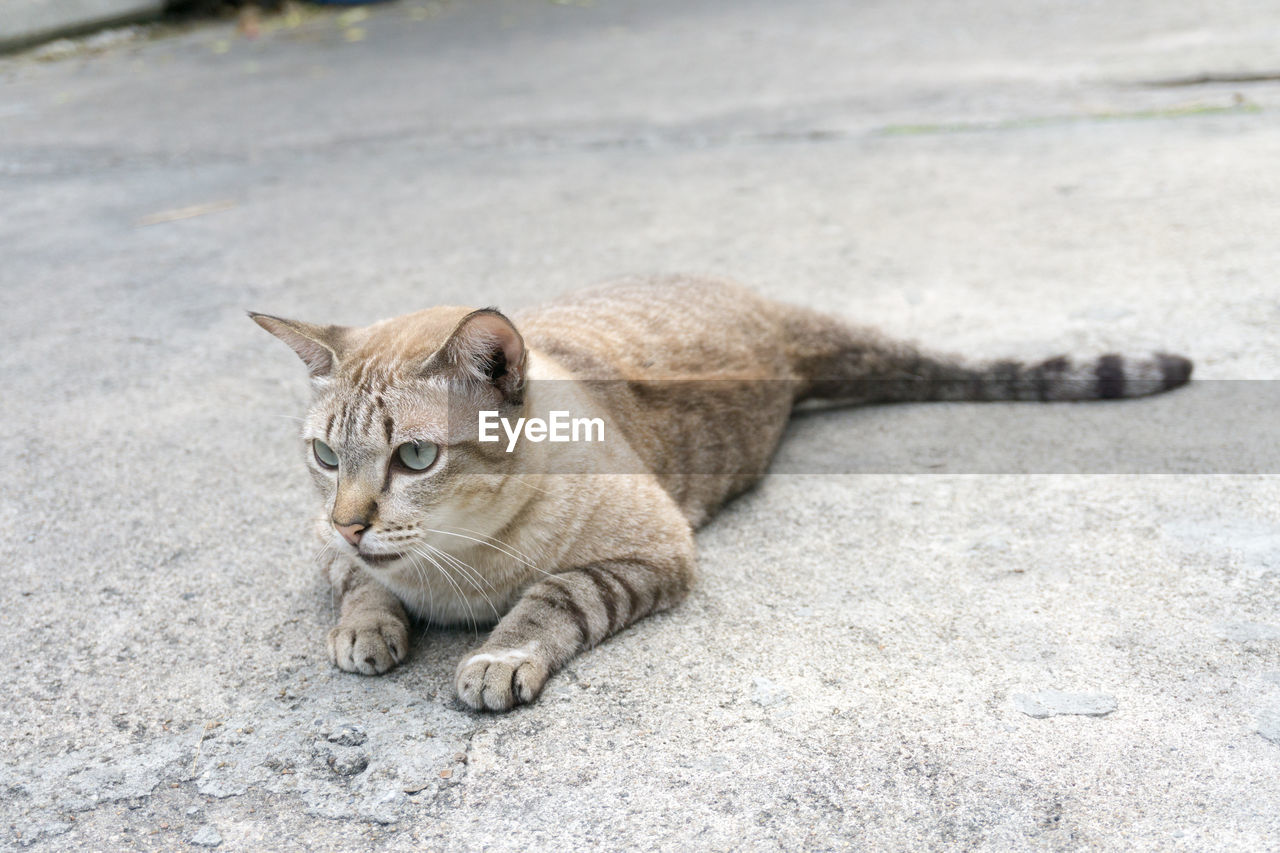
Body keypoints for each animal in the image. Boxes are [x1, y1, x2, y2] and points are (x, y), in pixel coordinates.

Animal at [249, 274, 1187, 712]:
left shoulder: (652, 550)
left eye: (414, 456)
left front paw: (495, 657)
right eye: (326, 456)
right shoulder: (325, 544)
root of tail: (761, 306)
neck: (450, 571)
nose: (352, 519)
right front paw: (368, 630)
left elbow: (550, 599)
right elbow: (360, 587)